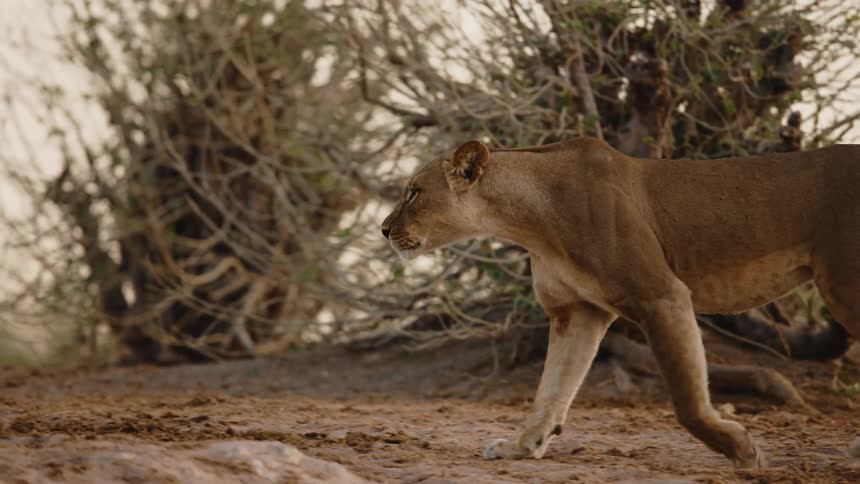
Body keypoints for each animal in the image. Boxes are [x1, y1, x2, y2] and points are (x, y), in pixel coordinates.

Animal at [380, 137, 859, 468]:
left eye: (414, 192)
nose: (383, 229)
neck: (530, 220)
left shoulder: (661, 295)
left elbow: (687, 401)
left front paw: (742, 450)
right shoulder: (577, 312)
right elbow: (552, 389)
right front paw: (523, 446)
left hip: (844, 286)